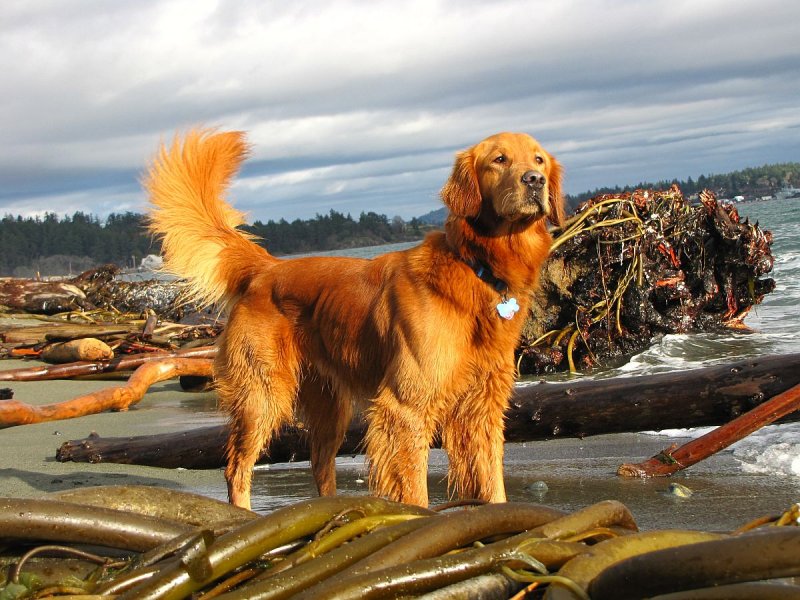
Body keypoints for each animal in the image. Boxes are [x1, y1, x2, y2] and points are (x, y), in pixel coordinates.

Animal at [144, 129, 564, 508]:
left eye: (539, 159)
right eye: (499, 160)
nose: (534, 180)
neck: (476, 266)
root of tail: (266, 268)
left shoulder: (484, 406)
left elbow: (493, 484)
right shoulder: (405, 408)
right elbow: (414, 489)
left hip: (330, 407)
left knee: (319, 464)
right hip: (262, 396)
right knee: (236, 467)